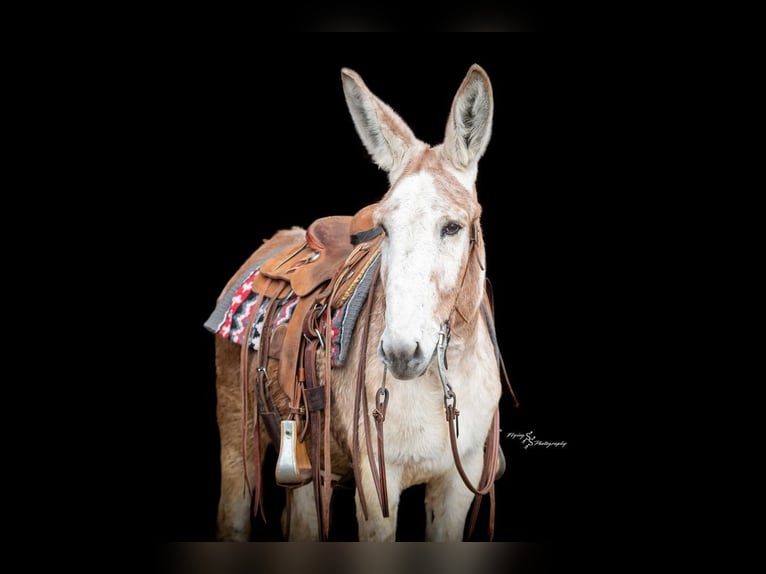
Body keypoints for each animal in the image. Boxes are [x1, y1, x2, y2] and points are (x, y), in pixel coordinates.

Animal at [205, 63, 515, 542]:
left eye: (453, 227)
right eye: (383, 228)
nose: (402, 352)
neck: (441, 380)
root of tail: (274, 241)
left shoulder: (456, 486)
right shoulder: (375, 487)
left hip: (309, 467)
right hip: (240, 442)